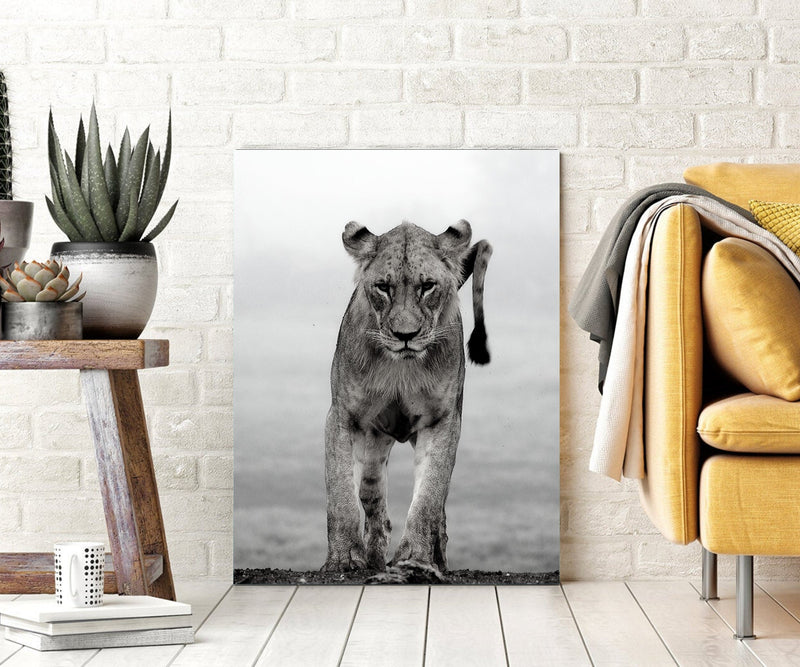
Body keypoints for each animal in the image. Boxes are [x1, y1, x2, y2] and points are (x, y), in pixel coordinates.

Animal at [322, 219, 492, 573]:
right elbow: (341, 494)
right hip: (373, 446)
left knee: (438, 510)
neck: (400, 367)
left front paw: (414, 558)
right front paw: (343, 560)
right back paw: (374, 559)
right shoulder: (342, 416)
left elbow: (428, 495)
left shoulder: (442, 421)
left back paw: (437, 559)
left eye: (427, 286)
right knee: (372, 501)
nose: (405, 336)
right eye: (383, 287)